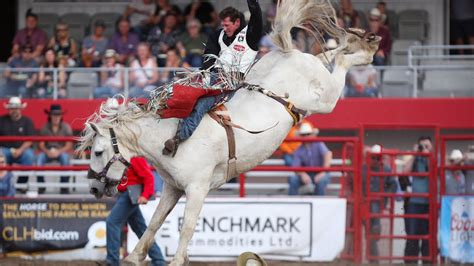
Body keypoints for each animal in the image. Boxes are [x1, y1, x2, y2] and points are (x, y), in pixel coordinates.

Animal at [78, 1, 380, 264]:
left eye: (98, 151)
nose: (93, 187)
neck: (170, 136)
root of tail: (289, 53)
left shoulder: (197, 188)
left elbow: (187, 227)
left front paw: (177, 260)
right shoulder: (173, 188)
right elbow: (154, 221)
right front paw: (134, 256)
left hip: (325, 98)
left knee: (342, 65)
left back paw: (368, 49)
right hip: (316, 73)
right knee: (331, 54)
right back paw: (358, 41)